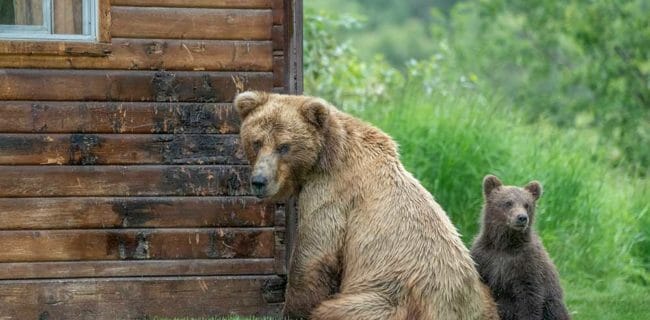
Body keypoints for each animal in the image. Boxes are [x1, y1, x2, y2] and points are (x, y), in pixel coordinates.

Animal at [237, 91, 496, 318]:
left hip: (391, 295)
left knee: (338, 309)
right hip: (481, 297)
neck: (325, 158)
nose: (259, 181)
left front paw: (293, 310)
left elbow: (314, 253)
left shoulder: (332, 193)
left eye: (284, 146)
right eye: (257, 142)